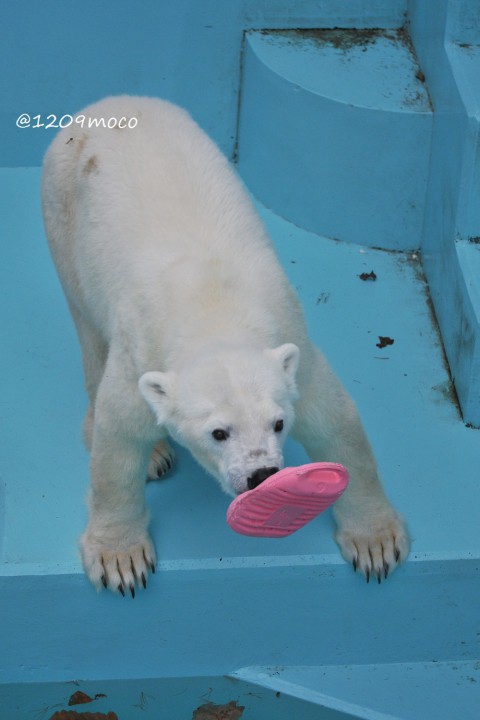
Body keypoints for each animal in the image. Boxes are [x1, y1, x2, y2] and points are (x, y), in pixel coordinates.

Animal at [42, 95, 408, 596]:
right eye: (218, 432)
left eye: (278, 423)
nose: (262, 475)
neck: (212, 310)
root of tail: (106, 104)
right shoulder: (140, 352)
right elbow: (117, 440)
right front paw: (120, 558)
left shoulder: (293, 343)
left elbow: (338, 426)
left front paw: (376, 544)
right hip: (63, 213)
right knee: (87, 328)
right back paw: (153, 454)